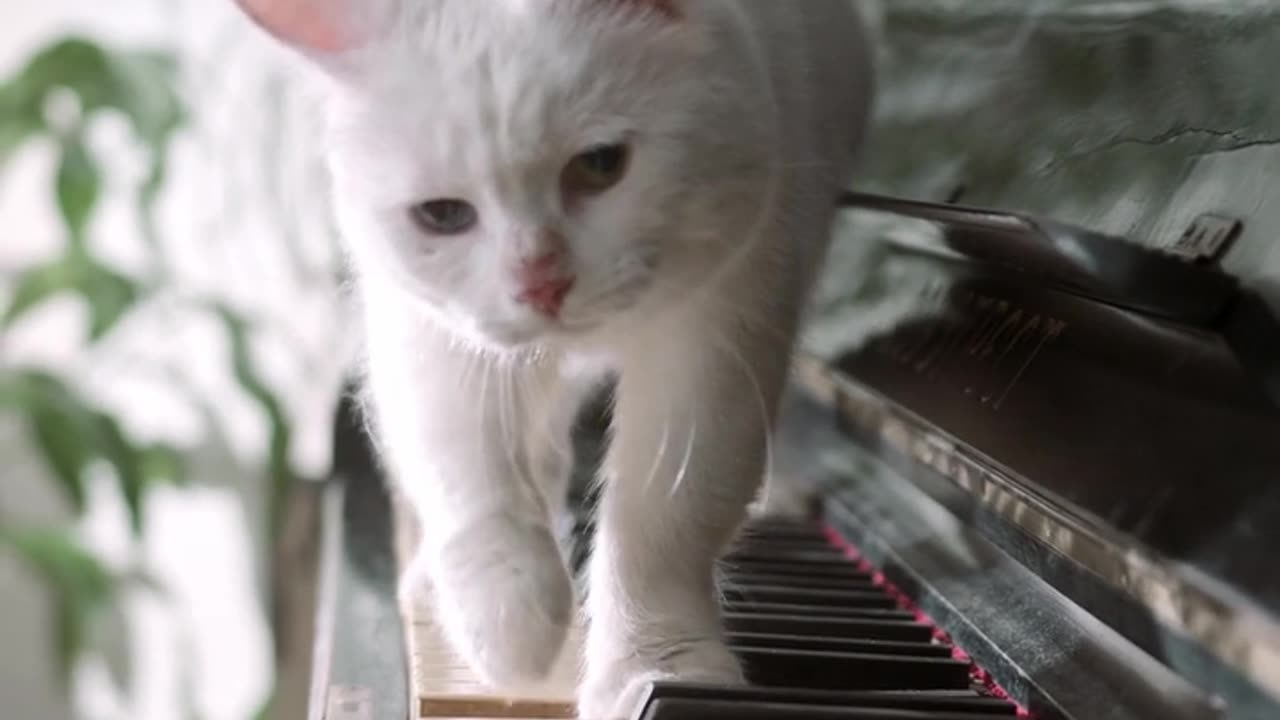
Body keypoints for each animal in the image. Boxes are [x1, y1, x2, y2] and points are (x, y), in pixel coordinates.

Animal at [232, 0, 870, 712]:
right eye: (443, 215)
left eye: (600, 164)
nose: (541, 283)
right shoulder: (433, 337)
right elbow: (471, 478)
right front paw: (510, 633)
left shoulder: (720, 332)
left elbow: (663, 523)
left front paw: (657, 669)